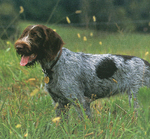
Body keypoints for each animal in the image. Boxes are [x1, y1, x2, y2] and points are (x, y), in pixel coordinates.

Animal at [14, 24, 150, 118]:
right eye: (24, 34)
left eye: (36, 35)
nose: (18, 47)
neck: (56, 64)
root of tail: (146, 63)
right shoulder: (59, 103)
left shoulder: (79, 100)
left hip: (136, 98)